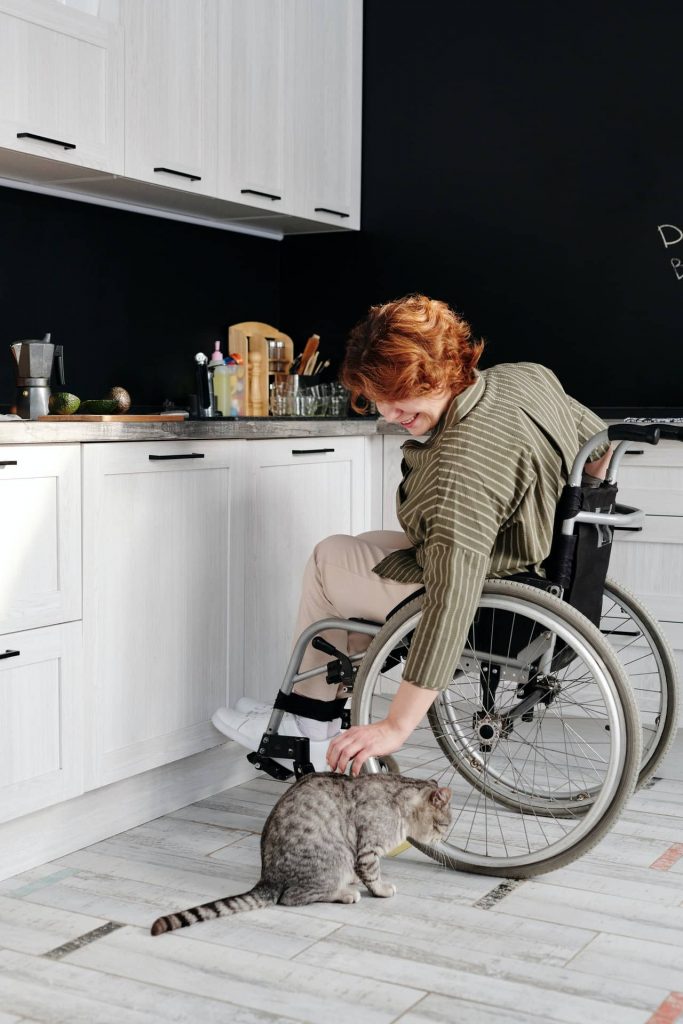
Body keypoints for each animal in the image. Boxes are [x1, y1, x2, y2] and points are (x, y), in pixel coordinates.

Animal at [153, 774, 454, 937]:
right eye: (445, 824)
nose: (443, 838)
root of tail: (267, 879)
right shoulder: (367, 848)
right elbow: (372, 873)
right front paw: (380, 889)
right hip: (335, 858)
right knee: (293, 897)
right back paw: (344, 892)